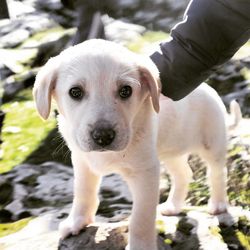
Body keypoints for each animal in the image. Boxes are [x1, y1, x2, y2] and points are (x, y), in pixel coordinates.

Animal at [33, 39, 238, 250]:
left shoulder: (145, 173)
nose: (103, 137)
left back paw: (219, 205)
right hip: (171, 153)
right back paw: (173, 206)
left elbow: (140, 219)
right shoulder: (82, 161)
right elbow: (83, 193)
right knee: (184, 174)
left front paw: (140, 246)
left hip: (212, 144)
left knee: (217, 173)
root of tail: (209, 89)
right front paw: (78, 222)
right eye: (75, 92)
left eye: (126, 91)